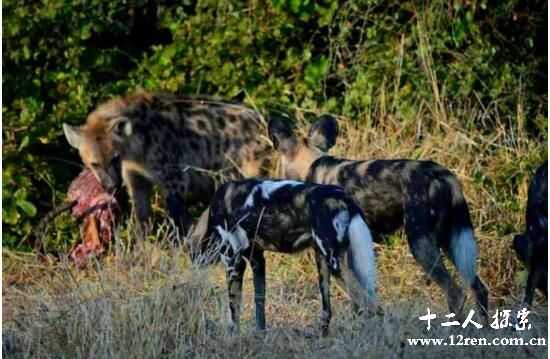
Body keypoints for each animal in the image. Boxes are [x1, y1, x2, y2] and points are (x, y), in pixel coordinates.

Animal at [63, 92, 274, 239]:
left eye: (114, 158)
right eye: (94, 164)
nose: (112, 186)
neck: (136, 150)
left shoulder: (174, 175)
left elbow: (176, 213)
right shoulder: (135, 177)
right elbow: (141, 216)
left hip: (252, 165)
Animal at [202, 180, 380, 338]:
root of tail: (344, 197)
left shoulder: (232, 260)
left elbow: (234, 311)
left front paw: (233, 338)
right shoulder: (257, 260)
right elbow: (259, 304)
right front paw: (260, 336)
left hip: (335, 266)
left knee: (371, 306)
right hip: (324, 264)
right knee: (332, 310)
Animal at [270, 116, 490, 324]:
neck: (312, 165)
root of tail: (444, 175)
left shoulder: (333, 256)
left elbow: (357, 299)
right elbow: (359, 302)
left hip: (421, 244)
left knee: (455, 292)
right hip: (451, 241)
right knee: (478, 288)